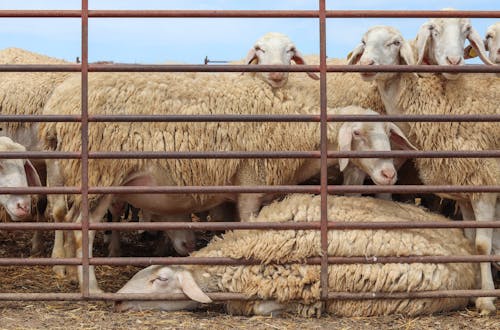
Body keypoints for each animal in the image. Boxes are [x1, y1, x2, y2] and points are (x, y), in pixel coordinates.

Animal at [348, 25, 500, 314]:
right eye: (363, 41)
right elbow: (469, 238)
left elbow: (481, 244)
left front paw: (486, 299)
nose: (366, 64)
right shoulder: (463, 188)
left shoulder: (483, 181)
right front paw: (475, 292)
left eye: (395, 43)